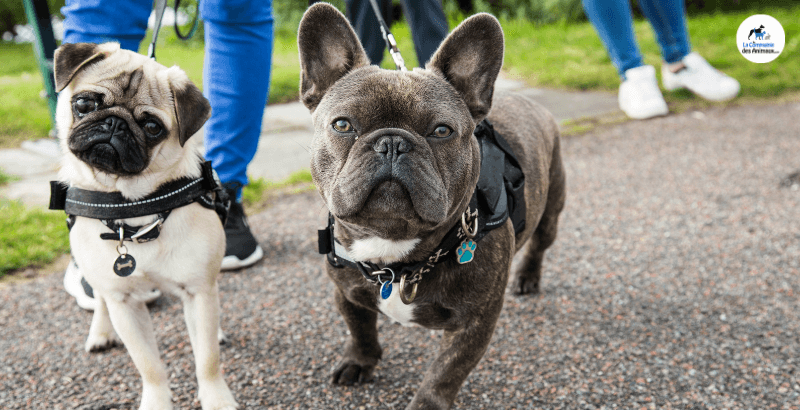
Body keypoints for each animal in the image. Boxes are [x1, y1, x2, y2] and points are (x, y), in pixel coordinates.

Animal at [53, 41, 238, 410]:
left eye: (152, 127)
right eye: (85, 104)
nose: (115, 124)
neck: (132, 208)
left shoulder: (198, 290)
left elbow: (207, 360)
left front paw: (217, 398)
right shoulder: (124, 303)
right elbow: (149, 365)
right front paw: (157, 400)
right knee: (101, 299)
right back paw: (101, 332)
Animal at [296, 4, 564, 410]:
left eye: (441, 131)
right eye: (342, 125)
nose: (392, 142)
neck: (394, 255)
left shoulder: (474, 323)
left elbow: (445, 373)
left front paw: (426, 402)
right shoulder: (345, 294)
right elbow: (359, 330)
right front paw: (359, 361)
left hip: (552, 208)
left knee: (539, 244)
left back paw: (528, 277)